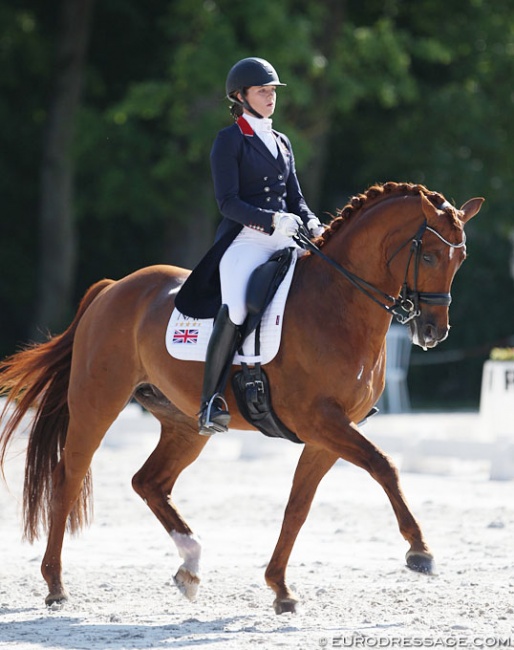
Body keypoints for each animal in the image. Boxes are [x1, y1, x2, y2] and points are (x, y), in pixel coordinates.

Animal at [0, 182, 480, 612]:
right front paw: (420, 550)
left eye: (461, 259)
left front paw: (280, 588)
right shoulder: (322, 421)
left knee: (149, 482)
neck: (339, 303)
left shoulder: (327, 434)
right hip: (97, 404)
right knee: (68, 479)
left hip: (186, 424)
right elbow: (385, 467)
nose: (433, 332)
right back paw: (56, 585)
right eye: (429, 254)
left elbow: (297, 507)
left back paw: (190, 566)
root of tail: (113, 286)